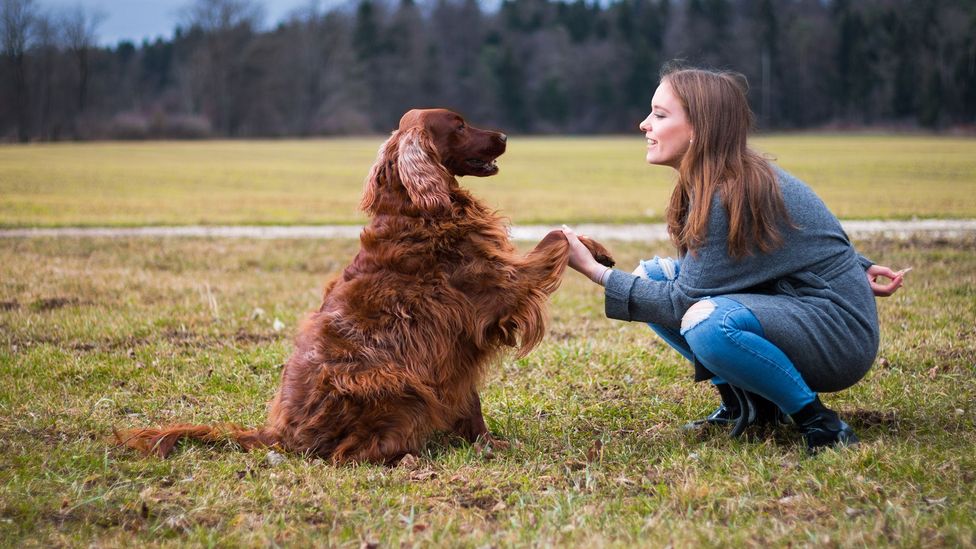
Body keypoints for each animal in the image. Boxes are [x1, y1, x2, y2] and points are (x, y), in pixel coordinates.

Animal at [118, 107, 612, 462]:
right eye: (458, 124)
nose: (506, 136)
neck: (414, 209)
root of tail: (279, 434)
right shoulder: (500, 287)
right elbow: (554, 239)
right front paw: (588, 248)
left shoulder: (455, 348)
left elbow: (470, 405)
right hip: (397, 383)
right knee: (347, 455)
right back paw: (407, 458)